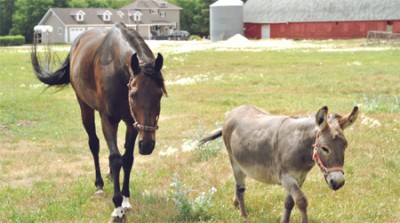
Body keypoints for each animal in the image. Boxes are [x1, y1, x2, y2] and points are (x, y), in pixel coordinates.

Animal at [30, 22, 166, 221]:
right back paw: (100, 185)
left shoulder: (132, 123)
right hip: (84, 107)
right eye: (134, 94)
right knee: (94, 144)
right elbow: (115, 158)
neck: (117, 70)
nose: (147, 145)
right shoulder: (108, 119)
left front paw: (126, 199)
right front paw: (117, 208)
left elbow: (127, 158)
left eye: (160, 94)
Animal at [198, 105, 358, 222]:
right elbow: (301, 201)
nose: (338, 182)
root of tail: (232, 112)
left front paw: (284, 221)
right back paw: (244, 215)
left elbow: (289, 202)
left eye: (345, 146)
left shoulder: (300, 178)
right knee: (240, 187)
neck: (299, 144)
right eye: (325, 148)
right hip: (234, 160)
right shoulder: (286, 177)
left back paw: (236, 204)